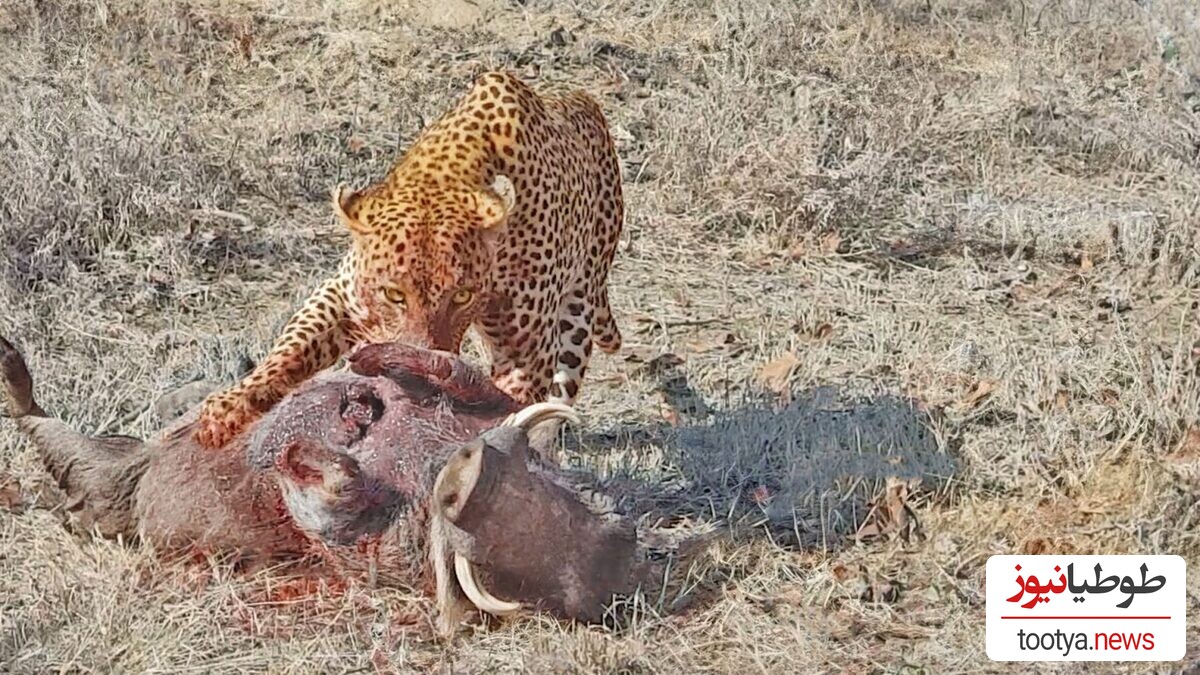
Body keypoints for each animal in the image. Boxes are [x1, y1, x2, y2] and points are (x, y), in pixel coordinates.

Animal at [192, 69, 624, 446]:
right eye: (394, 295)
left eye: (461, 296)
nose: (416, 377)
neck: (445, 175)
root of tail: (582, 100)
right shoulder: (343, 294)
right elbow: (290, 349)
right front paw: (229, 407)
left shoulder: (525, 353)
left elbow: (504, 404)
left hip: (578, 309)